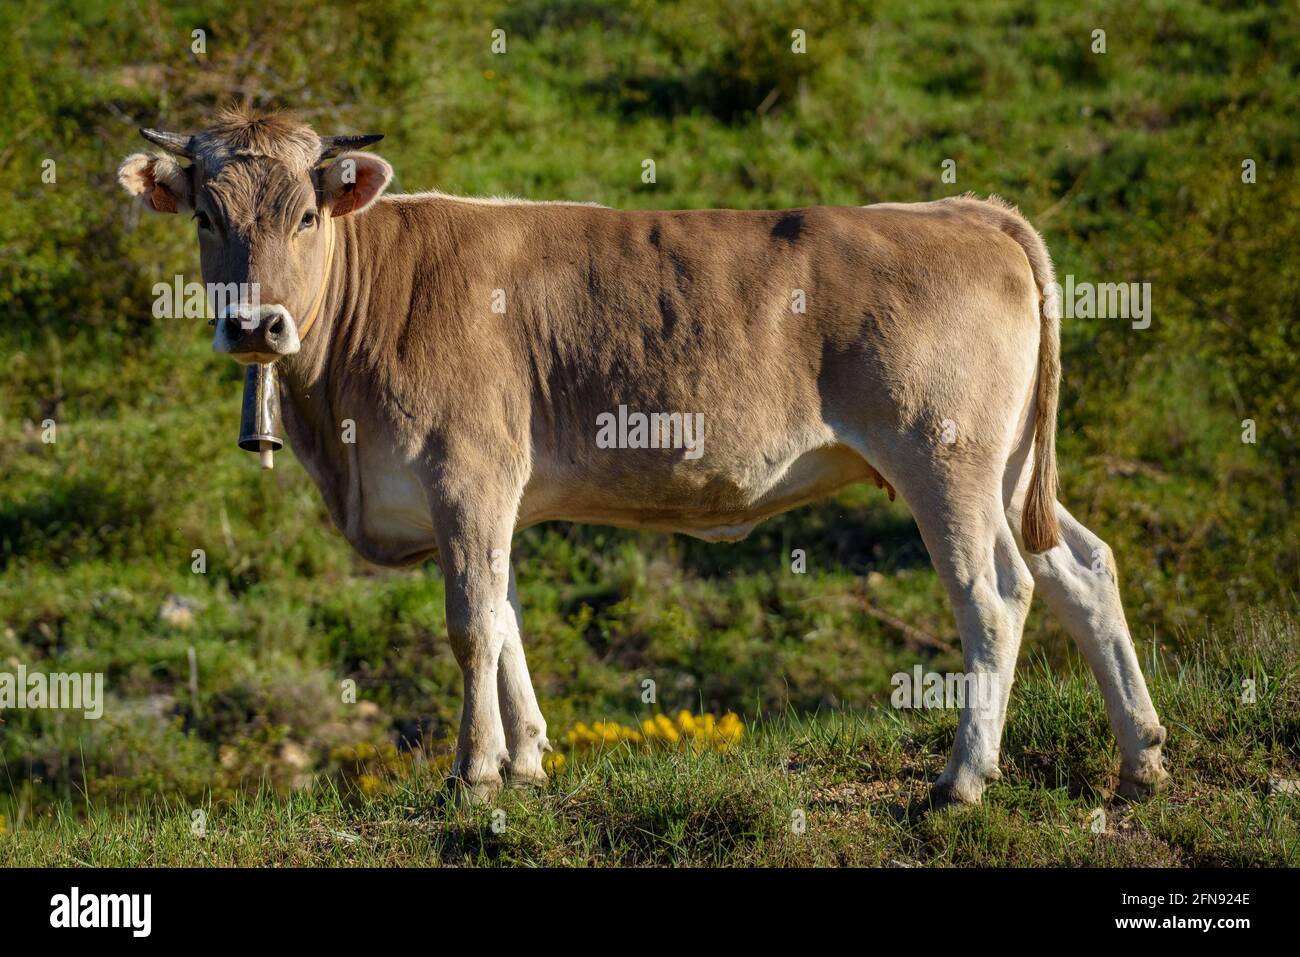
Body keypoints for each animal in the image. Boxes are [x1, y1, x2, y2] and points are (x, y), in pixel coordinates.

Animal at [118, 108, 1170, 805]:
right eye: (207, 216)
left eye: (305, 216)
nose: (255, 324)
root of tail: (960, 209)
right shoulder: (492, 497)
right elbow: (507, 619)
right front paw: (528, 760)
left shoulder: (468, 474)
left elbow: (471, 627)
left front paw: (474, 774)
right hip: (1009, 470)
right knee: (1082, 567)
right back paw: (1141, 758)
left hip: (944, 459)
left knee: (995, 595)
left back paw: (961, 779)